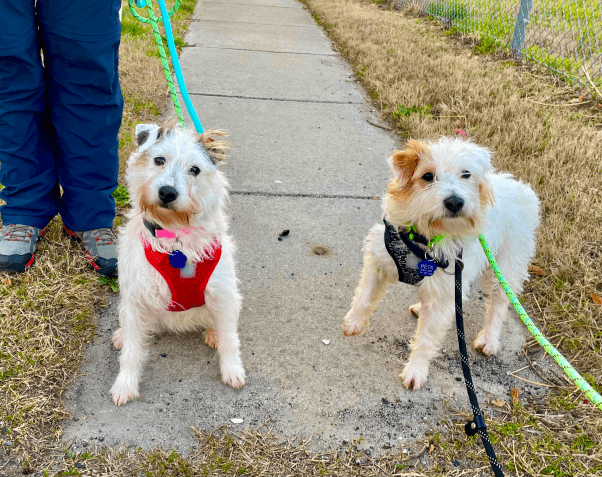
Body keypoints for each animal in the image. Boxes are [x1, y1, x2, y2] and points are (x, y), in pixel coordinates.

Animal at [110, 119, 244, 406]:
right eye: (159, 160)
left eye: (195, 169)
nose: (167, 192)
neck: (175, 236)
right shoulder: (136, 298)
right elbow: (132, 351)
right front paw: (125, 384)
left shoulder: (223, 292)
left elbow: (230, 338)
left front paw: (232, 369)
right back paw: (122, 334)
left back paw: (213, 332)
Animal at [342, 138, 540, 390]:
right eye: (427, 176)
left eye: (466, 174)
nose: (455, 201)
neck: (424, 237)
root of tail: (520, 188)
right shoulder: (379, 259)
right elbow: (364, 295)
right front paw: (353, 322)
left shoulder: (445, 288)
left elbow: (426, 338)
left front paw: (416, 370)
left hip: (505, 268)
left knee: (498, 303)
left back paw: (489, 339)